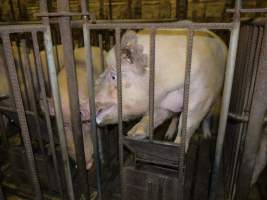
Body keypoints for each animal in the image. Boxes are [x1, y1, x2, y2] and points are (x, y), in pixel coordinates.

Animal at [95, 28, 227, 152]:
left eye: (114, 77)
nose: (92, 104)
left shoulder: (201, 97)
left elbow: (187, 123)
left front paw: (179, 146)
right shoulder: (161, 103)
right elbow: (154, 116)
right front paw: (134, 133)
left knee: (207, 116)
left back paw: (207, 136)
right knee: (175, 117)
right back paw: (167, 136)